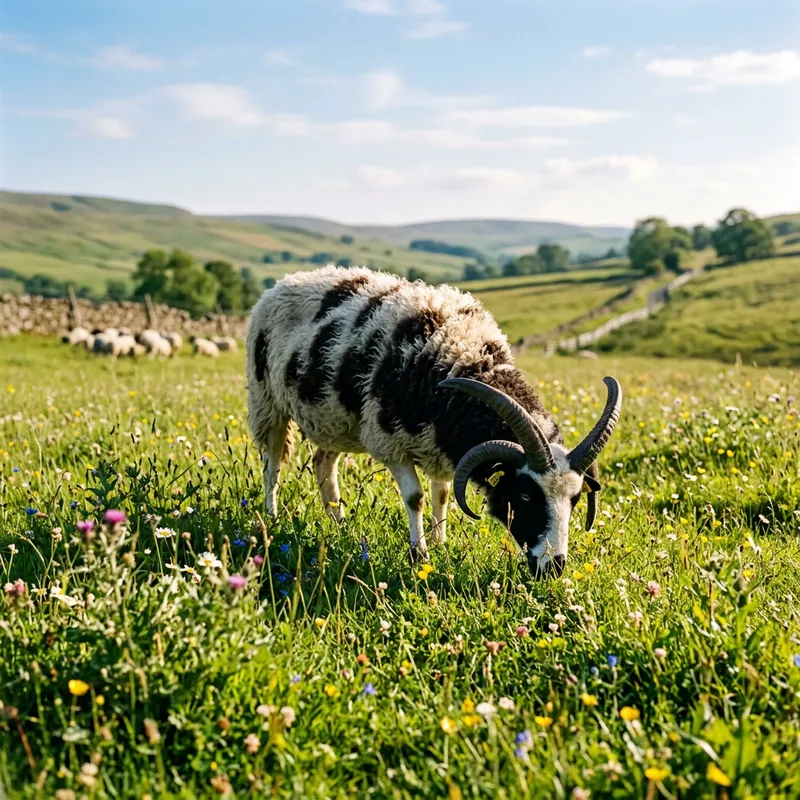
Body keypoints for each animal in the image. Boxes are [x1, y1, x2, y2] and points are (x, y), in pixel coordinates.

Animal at [245, 265, 622, 578]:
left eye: (575, 499)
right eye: (527, 496)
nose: (554, 567)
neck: (460, 358)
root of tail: (285, 281)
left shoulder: (438, 444)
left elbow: (441, 494)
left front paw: (440, 543)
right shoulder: (389, 441)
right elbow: (416, 498)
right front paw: (419, 554)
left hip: (335, 419)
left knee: (323, 463)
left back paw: (341, 525)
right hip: (267, 402)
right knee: (272, 465)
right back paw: (271, 517)